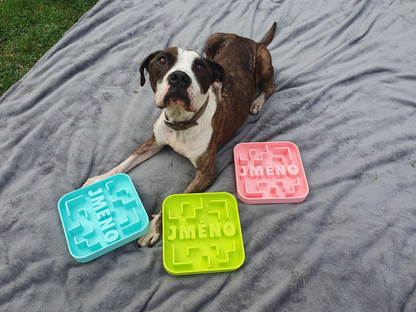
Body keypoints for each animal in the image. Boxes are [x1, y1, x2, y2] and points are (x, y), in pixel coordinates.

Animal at [82, 22, 276, 246]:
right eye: (162, 60)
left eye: (199, 67)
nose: (180, 77)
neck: (180, 122)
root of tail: (252, 41)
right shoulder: (153, 142)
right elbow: (124, 163)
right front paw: (99, 179)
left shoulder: (206, 173)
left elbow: (173, 201)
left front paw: (153, 229)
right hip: (212, 39)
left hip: (263, 63)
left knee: (270, 86)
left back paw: (257, 102)